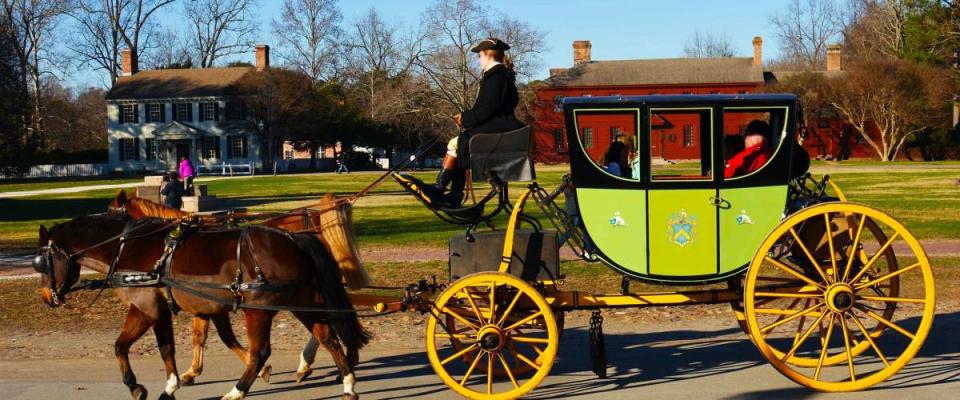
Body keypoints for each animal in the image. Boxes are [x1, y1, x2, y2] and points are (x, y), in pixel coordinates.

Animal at [37, 216, 370, 400]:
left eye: (40, 261)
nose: (46, 297)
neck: (126, 248)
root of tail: (295, 238)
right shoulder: (167, 310)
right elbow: (168, 349)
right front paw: (171, 386)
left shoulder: (145, 307)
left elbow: (120, 346)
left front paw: (136, 387)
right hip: (302, 303)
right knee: (328, 338)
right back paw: (348, 384)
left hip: (258, 310)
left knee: (261, 351)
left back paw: (238, 390)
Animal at [108, 189, 372, 382]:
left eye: (110, 211)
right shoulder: (203, 301)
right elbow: (200, 336)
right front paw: (194, 370)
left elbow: (205, 336)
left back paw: (315, 362)